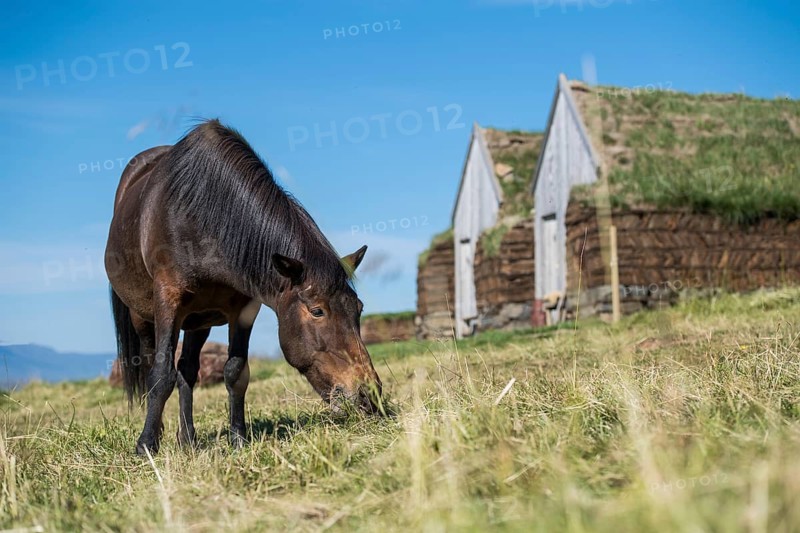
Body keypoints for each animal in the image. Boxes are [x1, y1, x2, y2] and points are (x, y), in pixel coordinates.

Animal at [105, 119, 382, 455]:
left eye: (359, 308)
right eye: (317, 311)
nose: (370, 395)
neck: (202, 216)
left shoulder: (243, 309)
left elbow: (236, 372)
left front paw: (238, 438)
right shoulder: (167, 300)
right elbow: (160, 375)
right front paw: (146, 445)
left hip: (199, 320)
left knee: (187, 371)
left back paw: (188, 440)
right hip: (142, 316)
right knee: (151, 366)